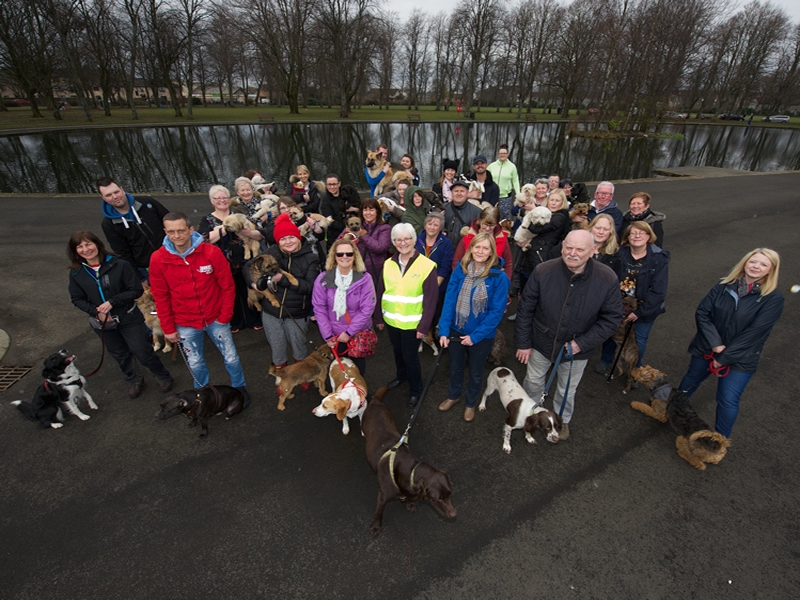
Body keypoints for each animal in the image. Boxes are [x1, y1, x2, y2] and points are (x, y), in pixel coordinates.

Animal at [360, 386, 456, 536]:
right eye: (437, 499)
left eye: (450, 494)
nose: (454, 515)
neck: (411, 470)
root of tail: (375, 401)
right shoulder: (382, 495)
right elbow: (379, 512)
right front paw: (375, 526)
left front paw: (407, 502)